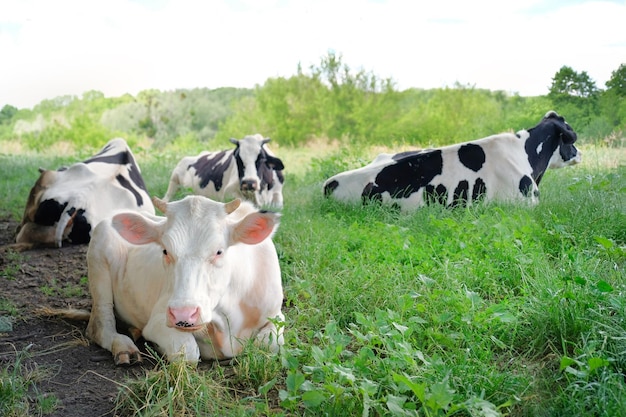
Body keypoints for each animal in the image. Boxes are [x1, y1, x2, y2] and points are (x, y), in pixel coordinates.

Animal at [84, 196, 282, 364]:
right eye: (165, 251)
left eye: (219, 251)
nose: (183, 315)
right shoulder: (157, 319)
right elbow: (188, 352)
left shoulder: (276, 313)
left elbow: (269, 345)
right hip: (98, 263)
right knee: (99, 325)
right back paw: (123, 347)